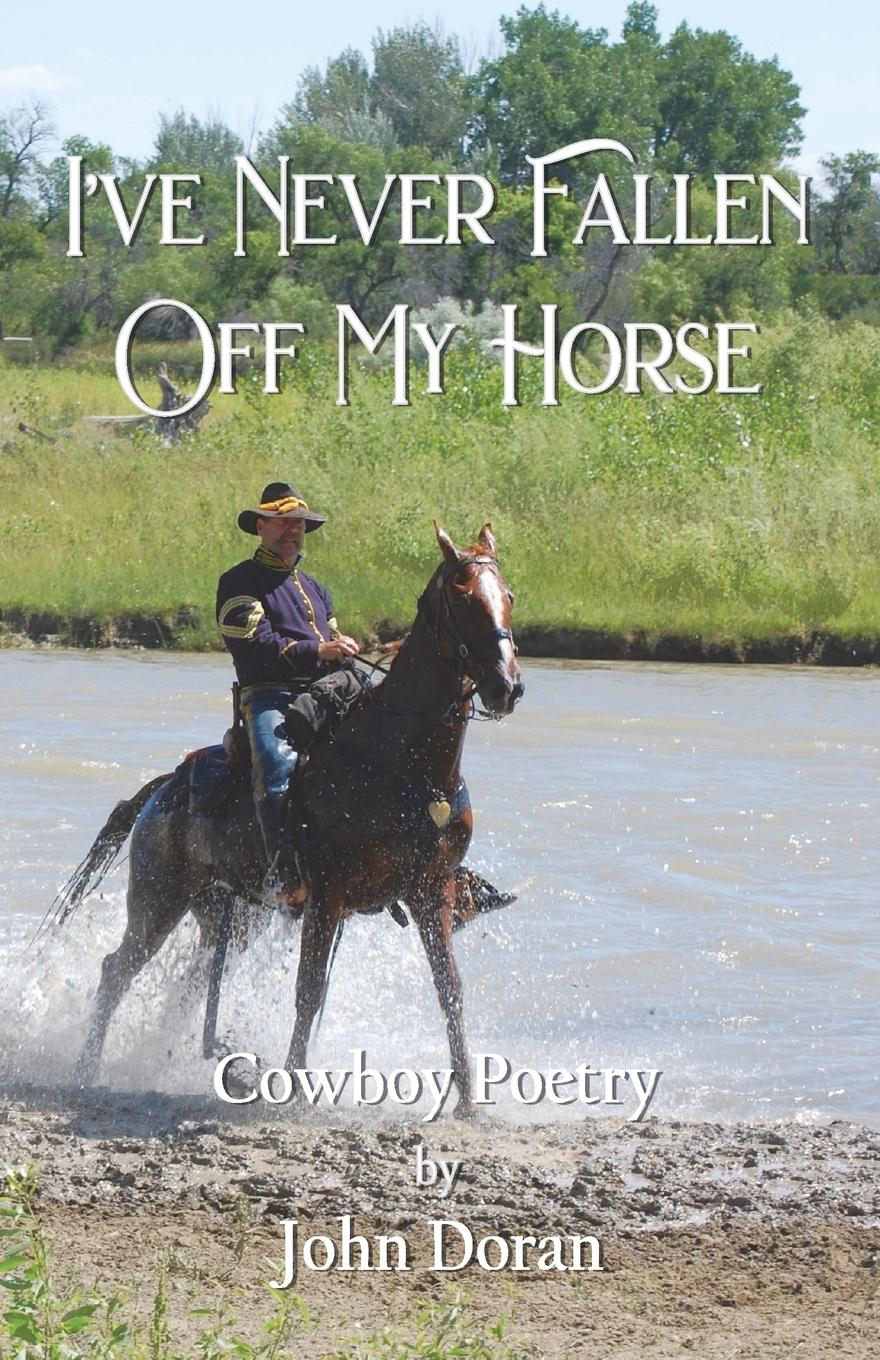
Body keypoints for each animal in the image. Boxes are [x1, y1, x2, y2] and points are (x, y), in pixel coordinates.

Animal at [59, 523, 523, 1115]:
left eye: (507, 596)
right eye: (462, 598)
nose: (506, 687)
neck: (404, 769)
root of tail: (163, 789)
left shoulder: (429, 891)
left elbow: (451, 991)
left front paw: (466, 1101)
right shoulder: (328, 894)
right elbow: (308, 992)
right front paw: (295, 1090)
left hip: (230, 916)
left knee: (188, 987)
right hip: (158, 900)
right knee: (116, 970)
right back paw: (85, 1071)